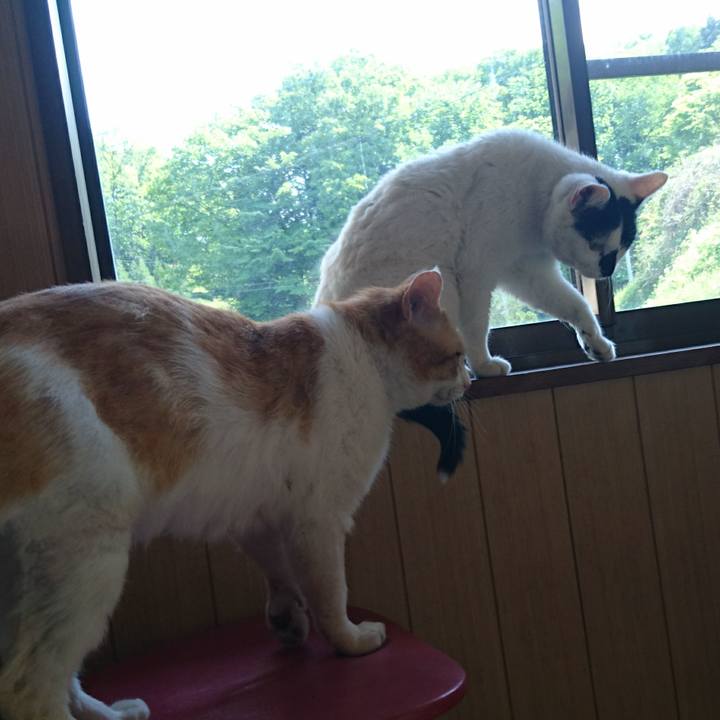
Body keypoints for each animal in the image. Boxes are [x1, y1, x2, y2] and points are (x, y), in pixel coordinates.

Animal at [0, 270, 469, 720]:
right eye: (458, 356)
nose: (469, 379)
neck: (365, 361)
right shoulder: (319, 521)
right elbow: (331, 595)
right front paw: (351, 640)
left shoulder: (258, 514)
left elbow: (280, 574)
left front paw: (288, 620)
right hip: (84, 556)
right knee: (27, 689)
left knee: (56, 678)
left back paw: (114, 714)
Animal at [315, 128, 668, 477]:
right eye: (598, 246)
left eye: (622, 249)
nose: (608, 271)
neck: (533, 198)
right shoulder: (477, 272)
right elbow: (476, 326)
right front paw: (484, 366)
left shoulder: (529, 273)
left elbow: (576, 304)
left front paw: (597, 344)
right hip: (443, 279)